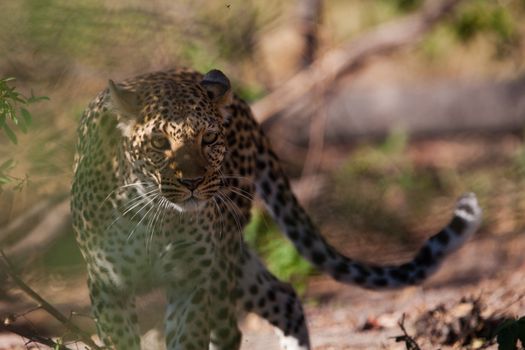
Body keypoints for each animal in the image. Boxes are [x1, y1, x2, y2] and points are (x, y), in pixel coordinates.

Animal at [71, 68, 482, 350]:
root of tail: (238, 102)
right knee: (283, 297)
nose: (192, 182)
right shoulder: (108, 284)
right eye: (159, 143)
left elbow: (189, 339)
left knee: (236, 327)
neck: (157, 219)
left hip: (223, 261)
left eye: (209, 138)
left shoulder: (192, 282)